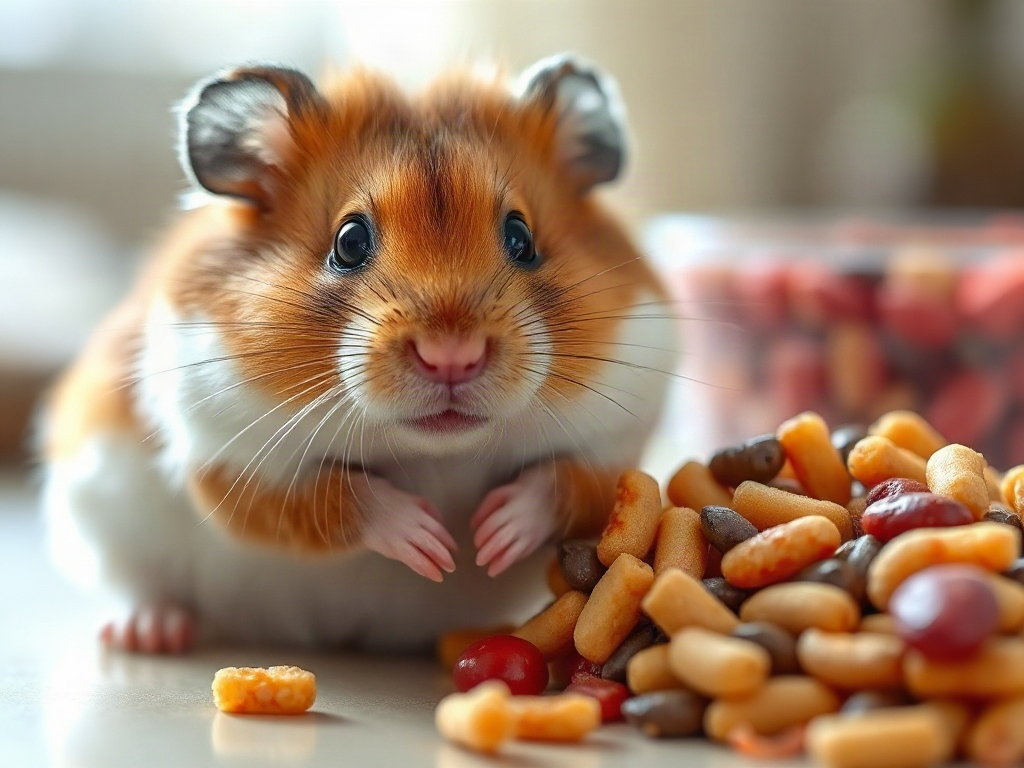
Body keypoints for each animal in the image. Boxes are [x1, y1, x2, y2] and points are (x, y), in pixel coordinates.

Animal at [40, 54, 679, 654]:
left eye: (521, 238)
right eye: (349, 242)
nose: (452, 355)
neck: (435, 450)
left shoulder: (619, 439)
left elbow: (565, 483)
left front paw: (491, 536)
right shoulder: (227, 459)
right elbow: (330, 500)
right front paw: (431, 542)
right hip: (97, 507)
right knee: (139, 584)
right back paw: (148, 633)